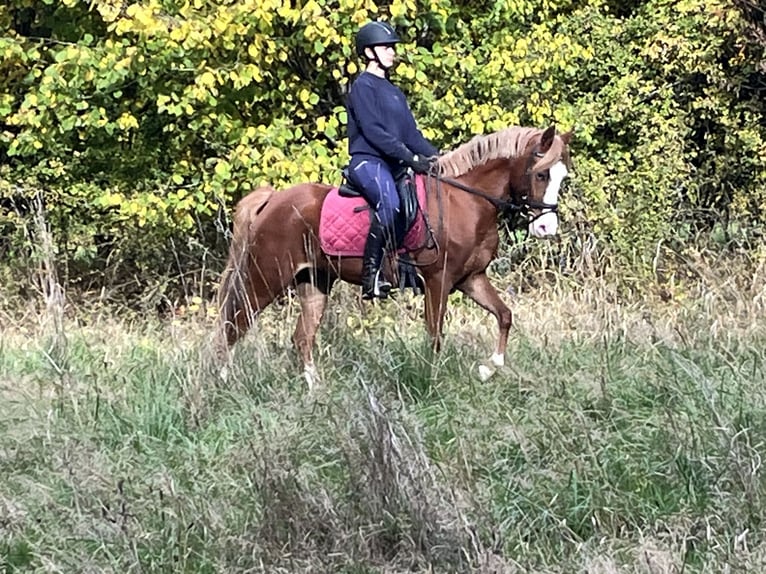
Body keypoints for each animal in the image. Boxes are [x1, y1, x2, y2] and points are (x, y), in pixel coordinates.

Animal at [214, 125, 572, 387]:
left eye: (562, 177)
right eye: (541, 174)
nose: (546, 227)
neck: (466, 201)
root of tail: (273, 199)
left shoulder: (471, 279)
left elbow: (504, 315)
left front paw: (489, 367)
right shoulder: (438, 280)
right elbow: (435, 333)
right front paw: (433, 378)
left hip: (314, 282)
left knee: (302, 337)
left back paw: (316, 391)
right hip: (266, 277)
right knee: (235, 325)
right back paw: (224, 383)